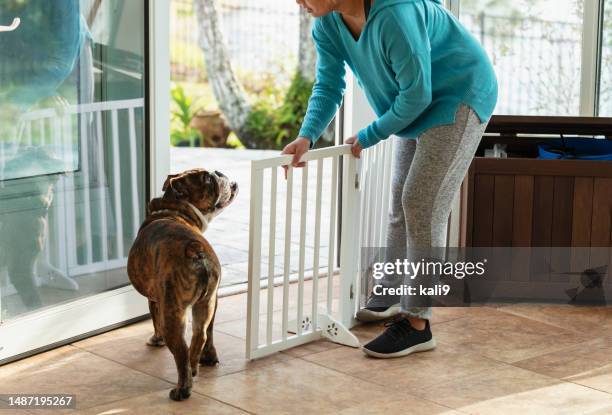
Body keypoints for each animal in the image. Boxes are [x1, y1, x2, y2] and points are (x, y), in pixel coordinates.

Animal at [126, 167, 237, 402]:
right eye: (207, 178)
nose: (218, 172)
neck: (175, 210)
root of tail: (194, 248)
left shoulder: (155, 299)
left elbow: (154, 320)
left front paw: (156, 340)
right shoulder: (214, 299)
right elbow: (210, 332)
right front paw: (209, 358)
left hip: (172, 311)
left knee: (181, 353)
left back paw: (182, 389)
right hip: (205, 303)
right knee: (199, 335)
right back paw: (195, 367)